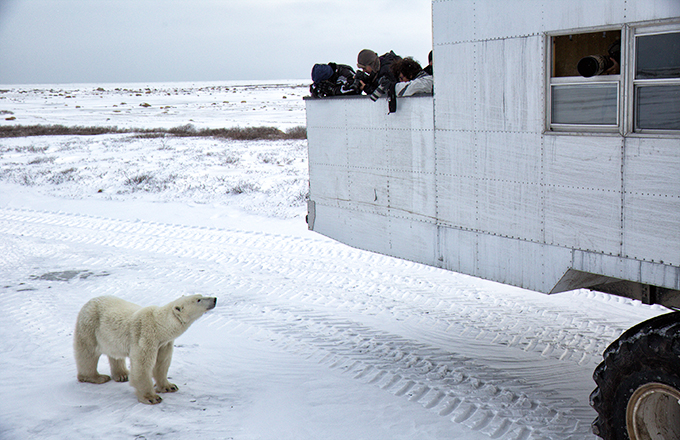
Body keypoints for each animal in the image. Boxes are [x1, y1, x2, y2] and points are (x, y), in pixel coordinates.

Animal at [73, 294, 215, 404]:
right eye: (198, 300)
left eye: (201, 295)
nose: (214, 299)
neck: (159, 326)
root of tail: (89, 302)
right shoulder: (145, 336)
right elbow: (142, 365)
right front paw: (151, 398)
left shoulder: (164, 343)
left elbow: (162, 363)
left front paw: (169, 386)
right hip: (90, 326)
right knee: (88, 353)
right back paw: (96, 377)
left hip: (108, 335)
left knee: (114, 353)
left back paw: (122, 375)